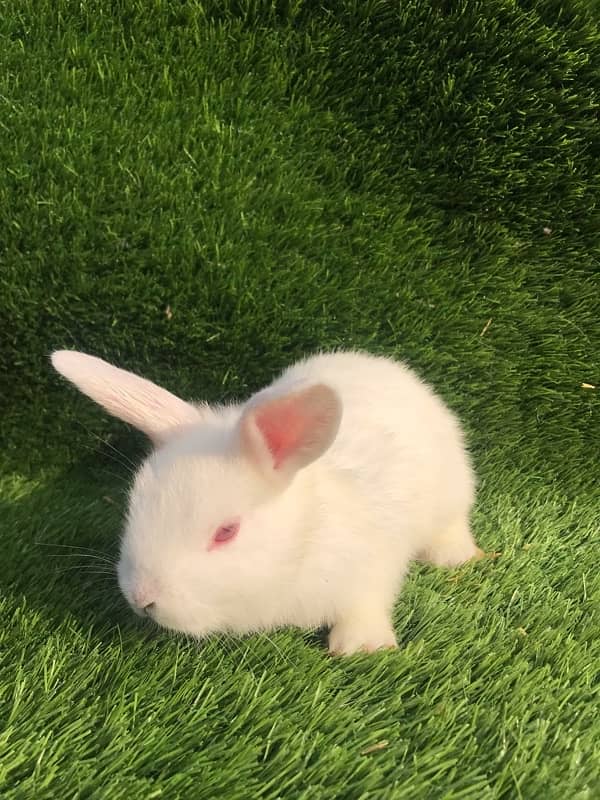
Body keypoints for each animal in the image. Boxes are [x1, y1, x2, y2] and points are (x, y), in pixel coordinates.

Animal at [51, 350, 482, 656]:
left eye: (226, 532)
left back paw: (456, 556)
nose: (141, 598)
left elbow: (367, 602)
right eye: (135, 507)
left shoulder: (373, 565)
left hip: (451, 492)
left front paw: (362, 647)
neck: (305, 539)